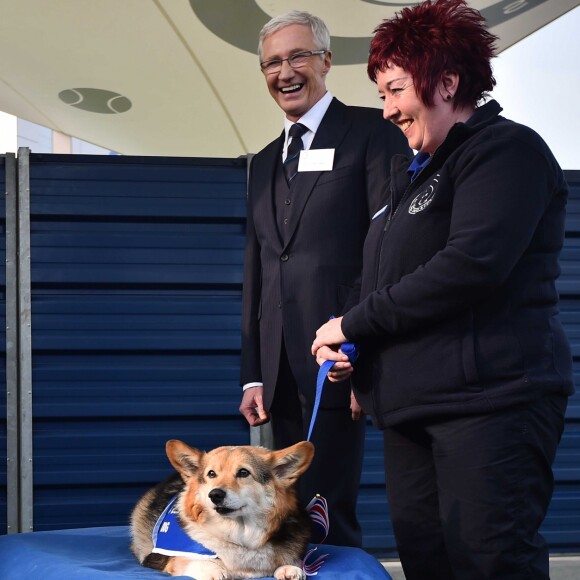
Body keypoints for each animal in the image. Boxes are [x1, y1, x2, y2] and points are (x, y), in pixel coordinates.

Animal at [131, 440, 314, 580]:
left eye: (243, 472)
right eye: (211, 474)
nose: (215, 495)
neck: (239, 534)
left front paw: (290, 568)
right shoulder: (173, 558)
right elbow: (195, 561)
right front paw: (215, 570)